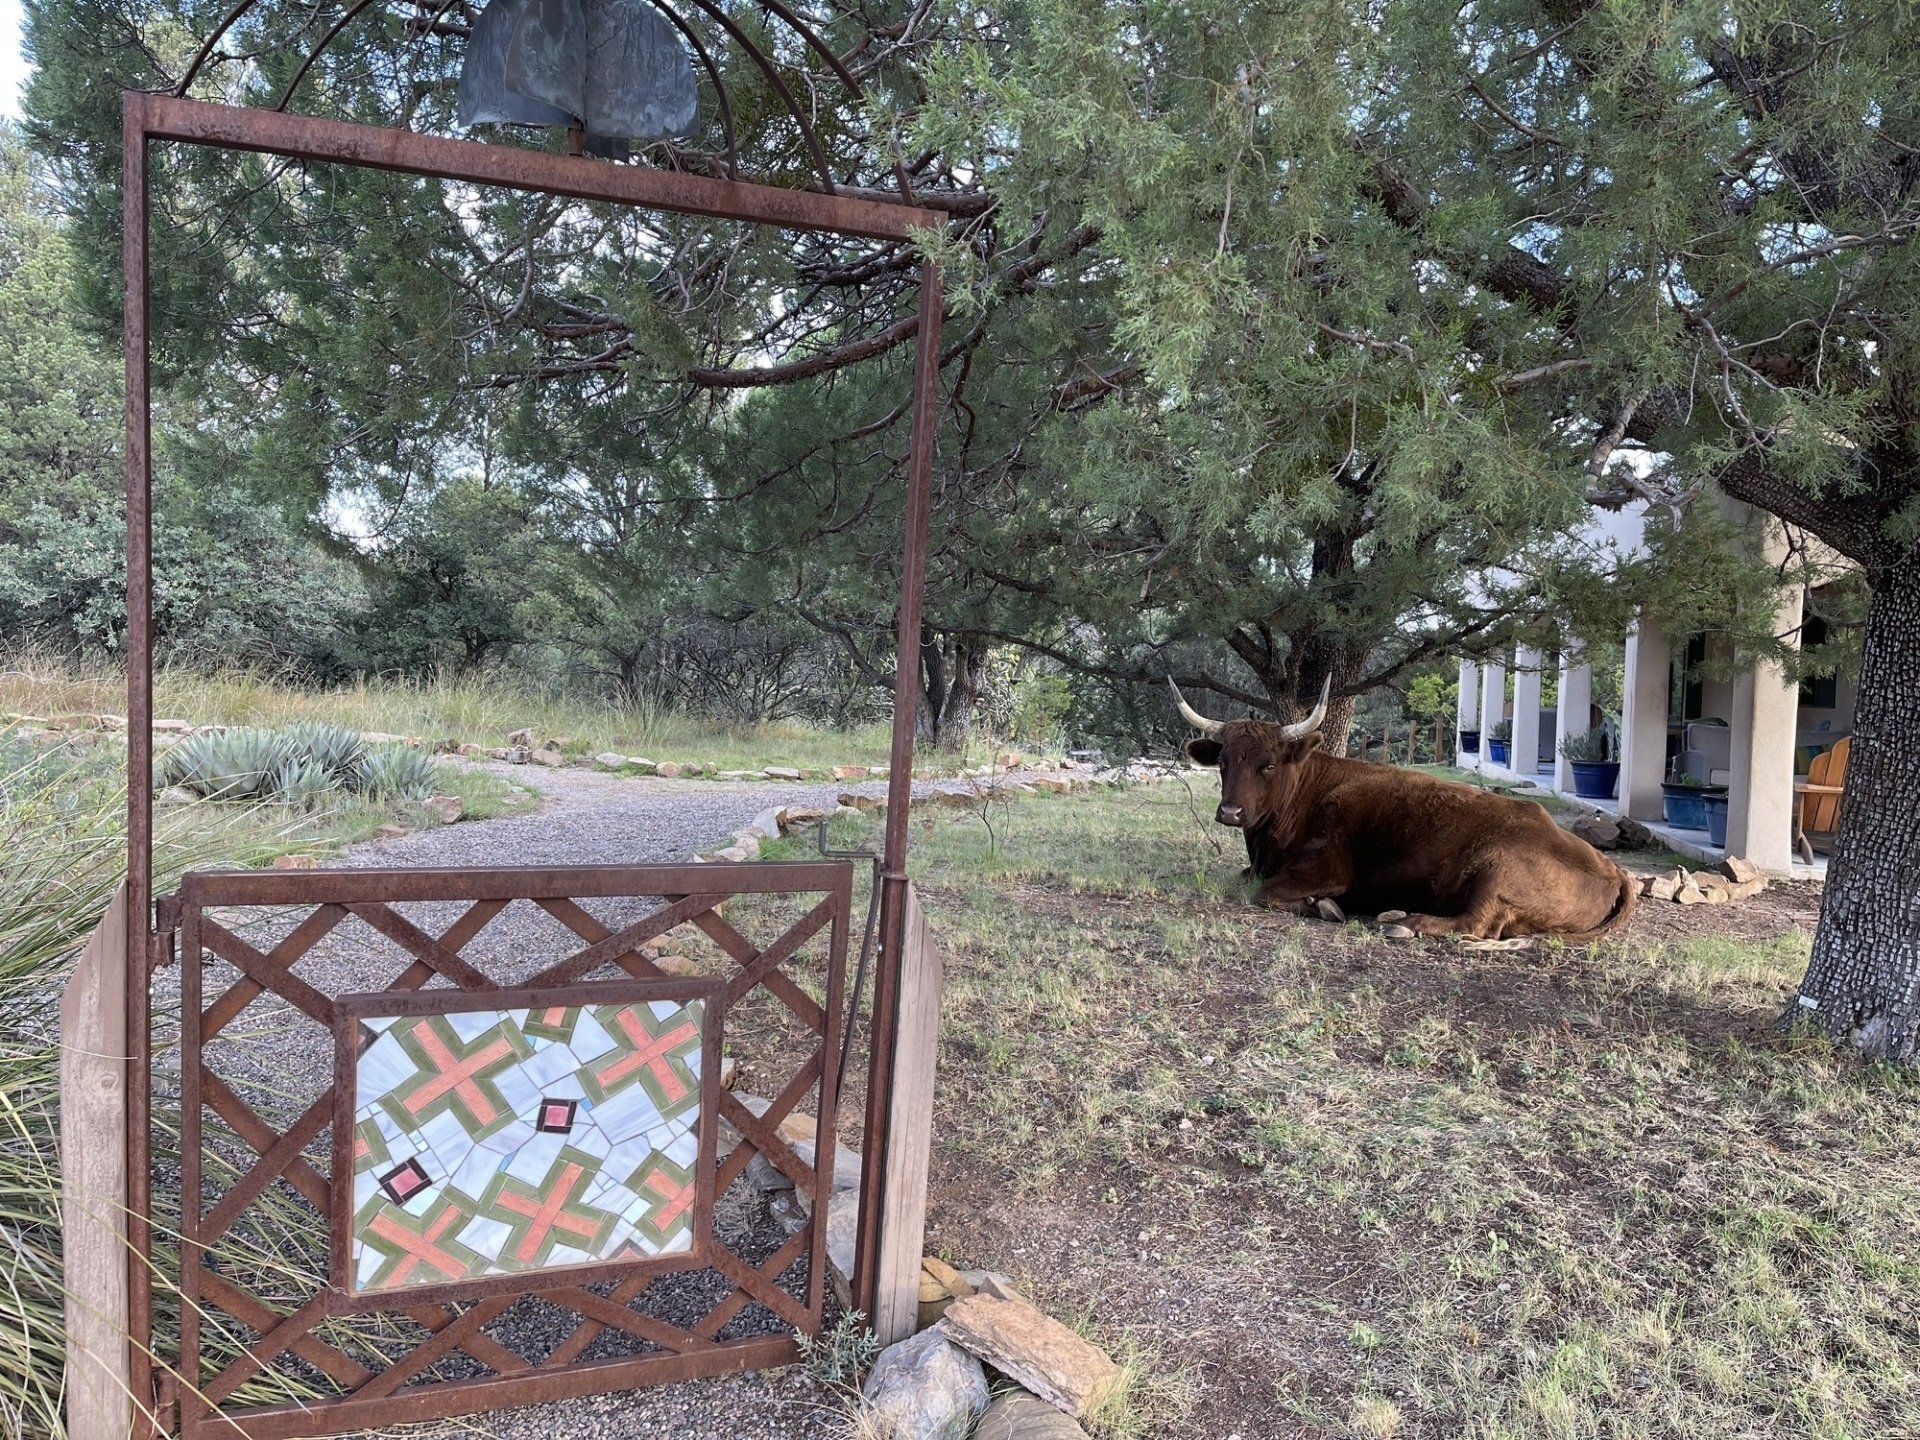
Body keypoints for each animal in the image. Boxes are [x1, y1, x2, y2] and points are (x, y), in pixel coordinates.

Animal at [1171, 678, 1635, 943]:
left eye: (1268, 764)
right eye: (1223, 762)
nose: (1231, 812)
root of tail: (1614, 870)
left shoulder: (1326, 868)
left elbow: (1266, 893)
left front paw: (1325, 907)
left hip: (1496, 870)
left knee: (1475, 923)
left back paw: (1404, 922)